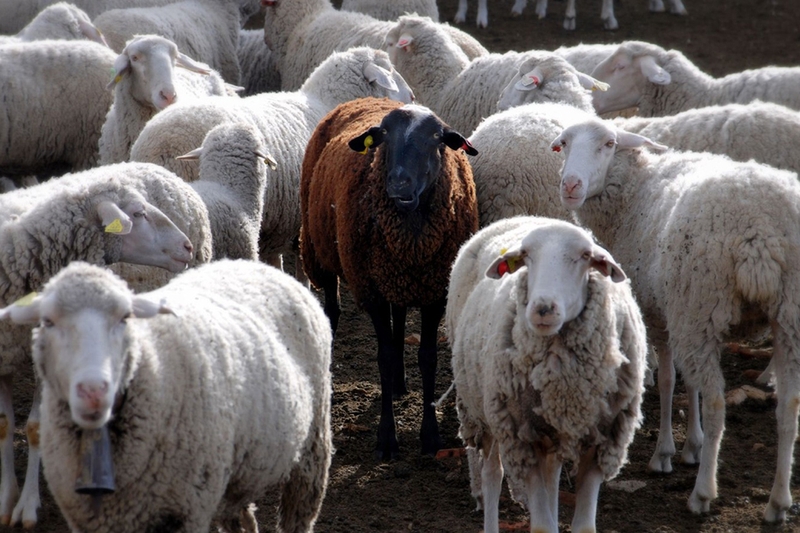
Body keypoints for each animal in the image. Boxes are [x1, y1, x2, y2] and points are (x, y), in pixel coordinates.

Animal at [0, 165, 197, 527]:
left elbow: (35, 428)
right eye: (138, 213)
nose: (187, 246)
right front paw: (6, 499)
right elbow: (5, 425)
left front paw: (28, 505)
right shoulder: (4, 353)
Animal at [0, 258, 333, 533]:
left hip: (312, 449)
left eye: (125, 318)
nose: (93, 390)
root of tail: (253, 264)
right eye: (47, 322)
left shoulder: (186, 511)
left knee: (299, 511)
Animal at [299, 96, 479, 460]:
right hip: (320, 250)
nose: (399, 183)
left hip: (395, 277)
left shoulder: (434, 290)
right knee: (333, 310)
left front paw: (430, 437)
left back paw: (399, 383)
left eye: (437, 137)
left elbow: (427, 357)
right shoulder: (372, 292)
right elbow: (381, 358)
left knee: (400, 320)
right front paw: (387, 438)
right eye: (382, 136)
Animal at [446, 215, 647, 533]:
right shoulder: (522, 439)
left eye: (585, 256)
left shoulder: (602, 441)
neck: (564, 384)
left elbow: (583, 526)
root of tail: (522, 217)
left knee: (551, 477)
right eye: (526, 255)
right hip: (484, 411)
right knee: (492, 475)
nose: (542, 308)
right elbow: (542, 525)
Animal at [551, 116, 800, 522]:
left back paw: (702, 494)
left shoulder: (660, 313)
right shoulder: (675, 309)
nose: (570, 185)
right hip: (785, 316)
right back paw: (778, 502)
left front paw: (666, 453)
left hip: (701, 303)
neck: (635, 191)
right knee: (789, 406)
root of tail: (760, 229)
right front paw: (692, 447)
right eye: (563, 144)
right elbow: (688, 382)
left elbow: (669, 381)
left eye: (608, 143)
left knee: (716, 404)